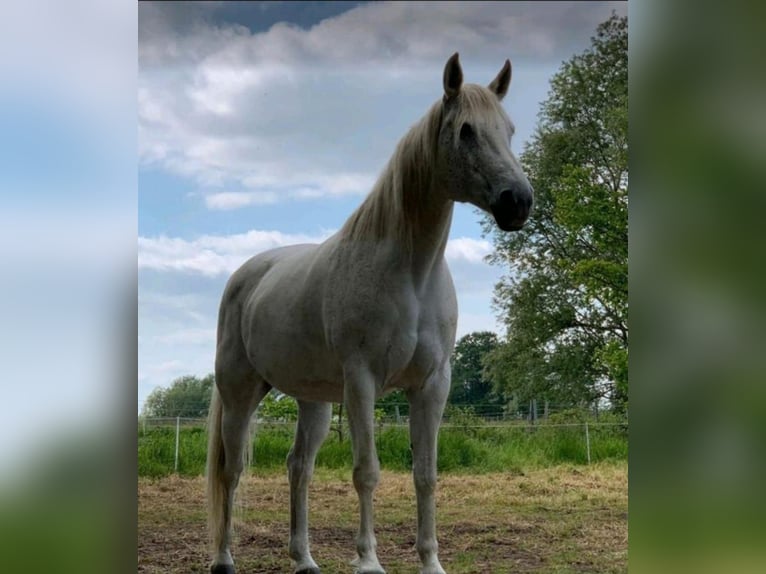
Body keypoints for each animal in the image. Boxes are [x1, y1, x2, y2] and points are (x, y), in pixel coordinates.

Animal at [207, 52, 533, 574]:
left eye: (509, 128)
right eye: (466, 131)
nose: (517, 202)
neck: (411, 274)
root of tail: (245, 276)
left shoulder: (433, 385)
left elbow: (425, 474)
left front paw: (431, 562)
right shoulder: (362, 382)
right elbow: (367, 472)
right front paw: (368, 561)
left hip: (314, 401)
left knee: (299, 468)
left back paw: (305, 559)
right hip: (241, 393)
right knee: (231, 470)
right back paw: (224, 558)